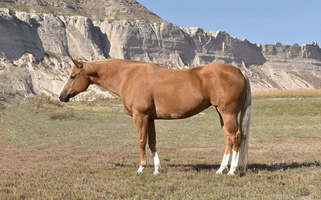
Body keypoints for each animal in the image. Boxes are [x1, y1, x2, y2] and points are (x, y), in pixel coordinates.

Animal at [58, 58, 251, 175]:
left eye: (73, 76)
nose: (62, 96)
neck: (128, 76)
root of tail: (239, 72)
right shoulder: (150, 118)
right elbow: (152, 142)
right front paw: (157, 169)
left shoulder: (140, 116)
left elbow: (141, 141)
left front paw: (141, 168)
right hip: (222, 114)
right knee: (228, 138)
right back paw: (221, 169)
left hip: (228, 113)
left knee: (235, 137)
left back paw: (232, 170)